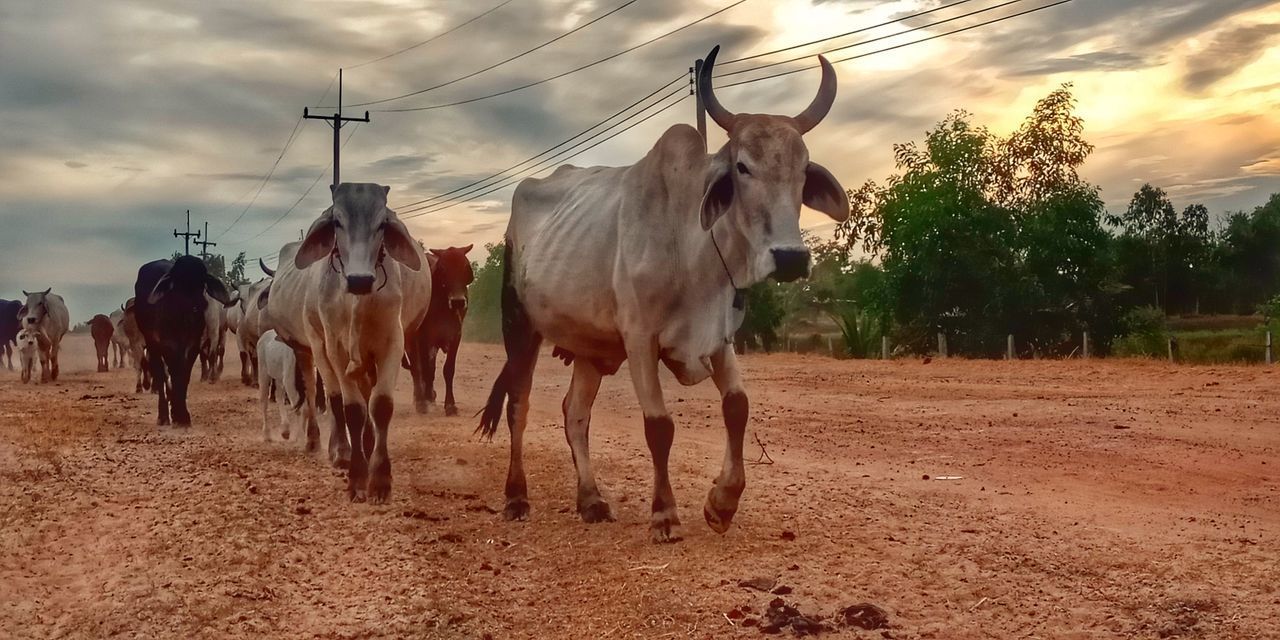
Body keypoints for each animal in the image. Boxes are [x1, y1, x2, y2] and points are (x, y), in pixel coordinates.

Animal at [135, 254, 235, 424]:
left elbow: (184, 373)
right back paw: (163, 414)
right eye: (178, 281)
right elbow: (174, 372)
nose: (196, 304)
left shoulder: (193, 344)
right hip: (151, 342)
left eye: (201, 281)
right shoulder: (168, 344)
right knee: (160, 374)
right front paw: (177, 412)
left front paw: (181, 414)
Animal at [476, 47, 844, 542]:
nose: (789, 258)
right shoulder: (640, 340)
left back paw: (591, 500)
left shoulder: (717, 337)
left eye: (803, 170)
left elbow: (737, 406)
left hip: (590, 348)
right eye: (742, 167)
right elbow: (659, 427)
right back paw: (516, 497)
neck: (691, 249)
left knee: (575, 414)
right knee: (519, 405)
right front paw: (665, 514)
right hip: (520, 324)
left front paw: (722, 503)